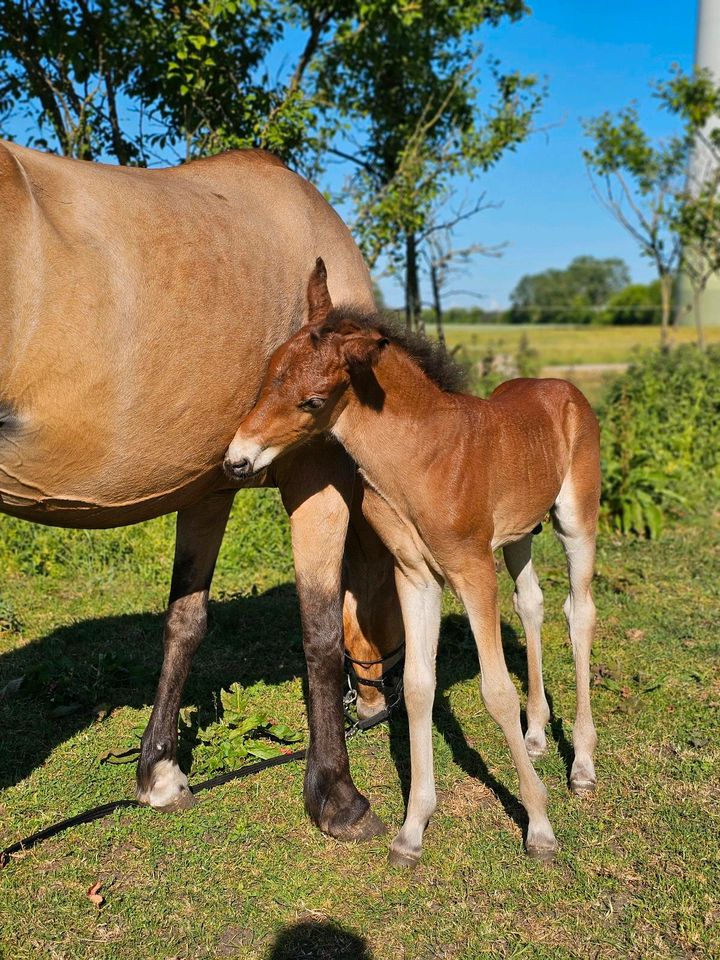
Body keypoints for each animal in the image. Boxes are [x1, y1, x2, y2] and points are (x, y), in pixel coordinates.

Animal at [0, 142, 394, 840]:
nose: (377, 708)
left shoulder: (208, 488)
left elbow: (185, 621)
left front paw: (158, 771)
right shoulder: (318, 473)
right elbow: (319, 627)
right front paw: (337, 796)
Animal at [225, 258, 600, 868]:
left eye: (313, 400)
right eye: (266, 378)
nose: (236, 461)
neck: (421, 457)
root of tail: (563, 389)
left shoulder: (471, 570)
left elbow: (496, 691)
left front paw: (540, 827)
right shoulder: (416, 576)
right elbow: (420, 685)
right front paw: (412, 830)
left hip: (575, 521)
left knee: (580, 612)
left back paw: (583, 764)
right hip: (520, 534)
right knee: (533, 604)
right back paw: (539, 733)